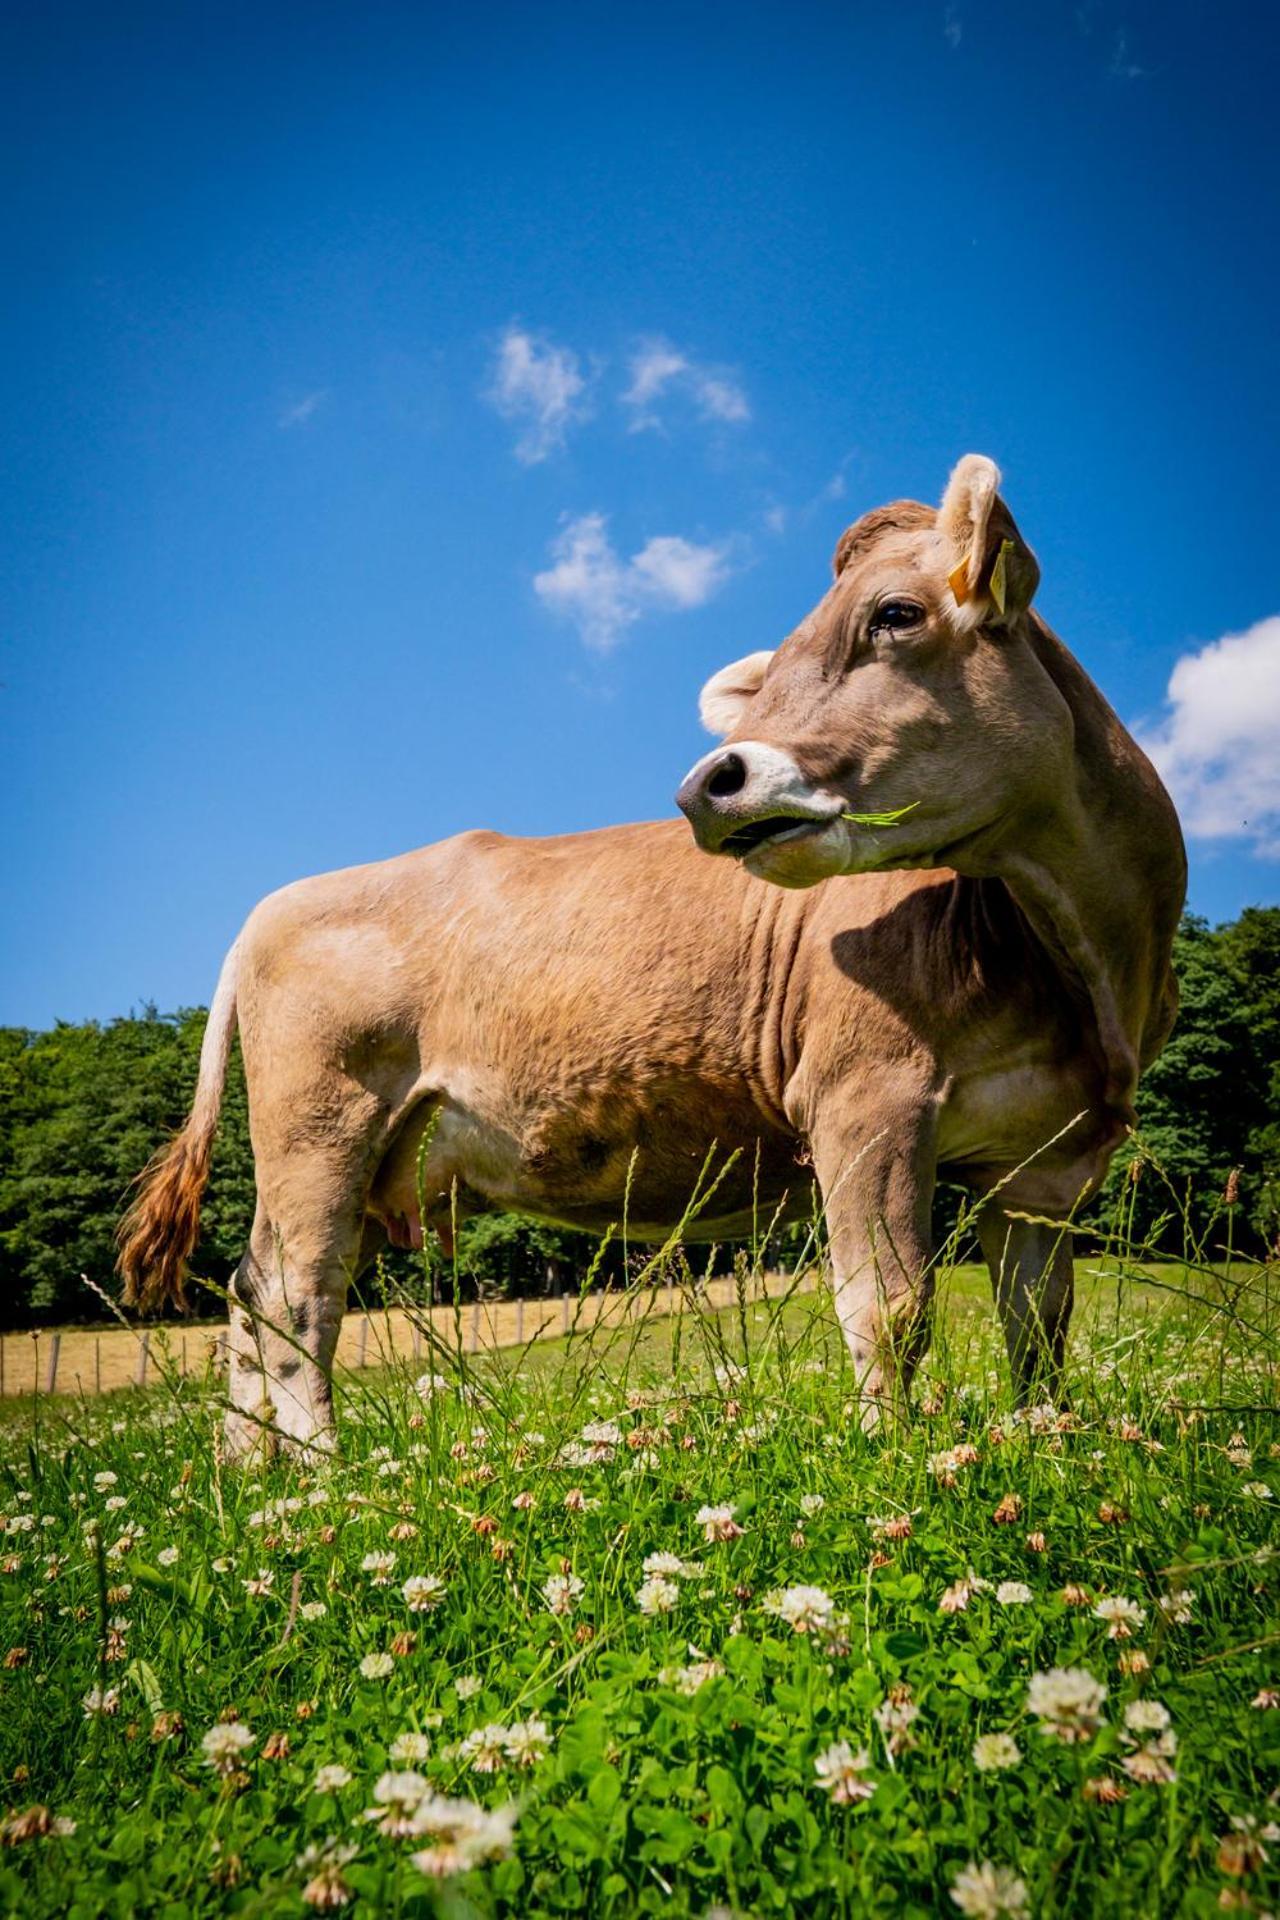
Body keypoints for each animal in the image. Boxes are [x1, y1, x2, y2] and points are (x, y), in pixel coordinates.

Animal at [122, 460, 1189, 1451]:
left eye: (896, 614)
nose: (707, 784)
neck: (1088, 968)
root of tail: (275, 902)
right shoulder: (867, 1094)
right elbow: (888, 1309)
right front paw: (899, 1462)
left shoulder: (1044, 1159)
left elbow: (1039, 1326)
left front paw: (1043, 1442)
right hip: (320, 1131)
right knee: (299, 1302)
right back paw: (321, 1482)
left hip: (350, 1159)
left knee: (250, 1296)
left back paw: (250, 1483)